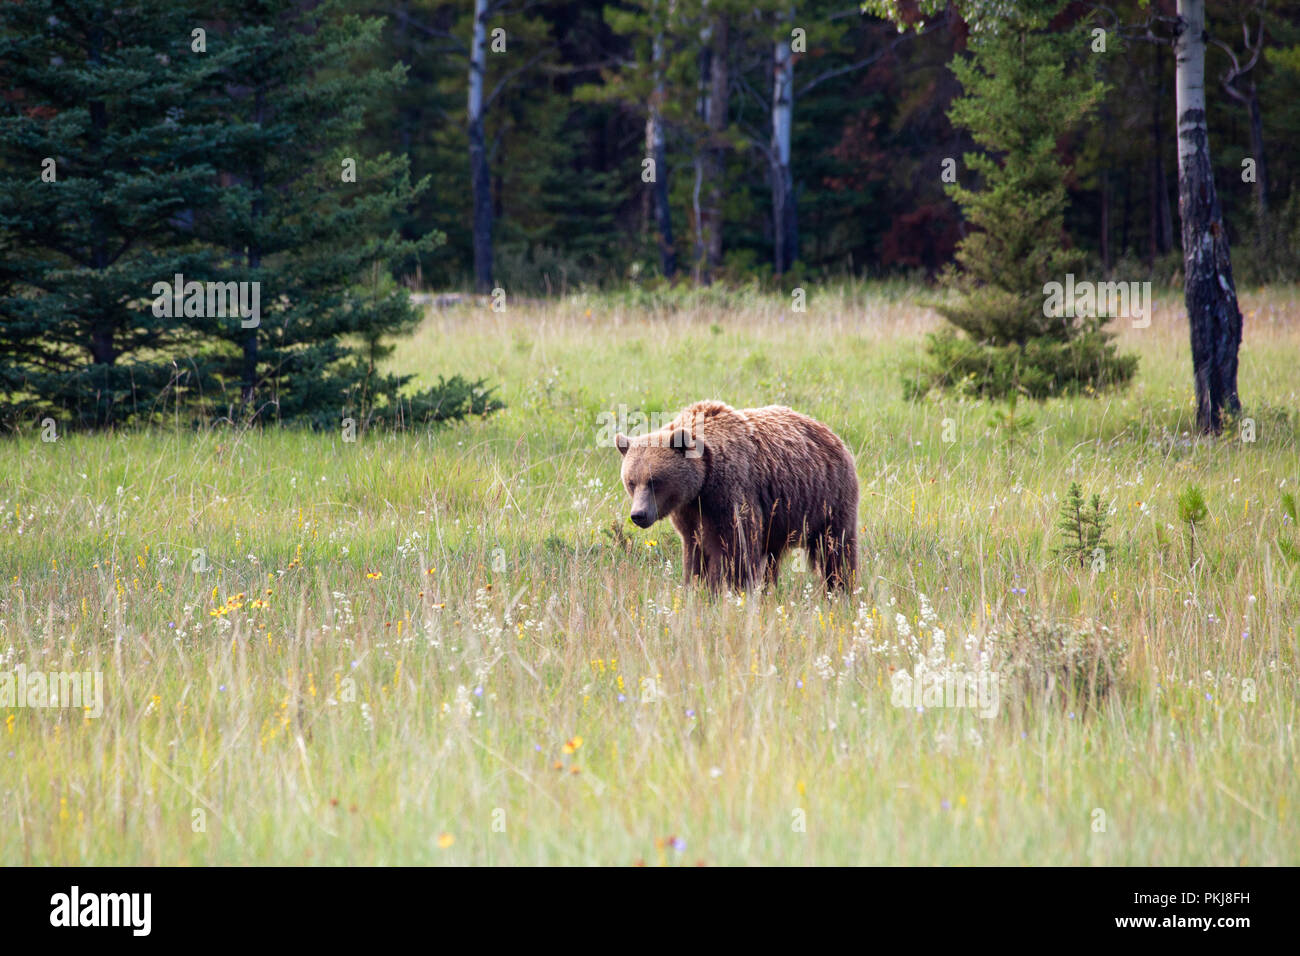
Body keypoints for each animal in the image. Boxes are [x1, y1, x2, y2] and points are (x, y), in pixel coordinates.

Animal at [613, 395, 857, 590]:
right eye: (631, 482)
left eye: (655, 481)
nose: (638, 514)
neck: (703, 482)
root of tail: (830, 433)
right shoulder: (690, 511)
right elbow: (694, 552)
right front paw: (696, 588)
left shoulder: (730, 495)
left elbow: (737, 550)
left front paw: (728, 589)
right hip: (781, 518)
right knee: (773, 558)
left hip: (827, 499)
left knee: (837, 549)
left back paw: (841, 589)